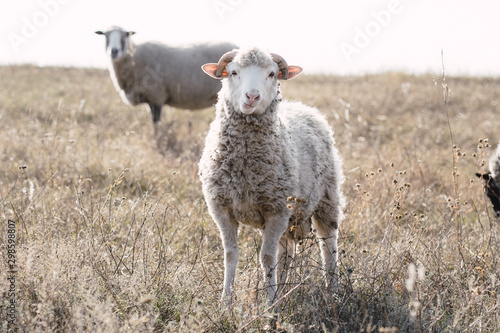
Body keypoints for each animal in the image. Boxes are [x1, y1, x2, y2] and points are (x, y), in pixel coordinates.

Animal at [96, 26, 237, 124]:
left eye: (125, 35)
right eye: (105, 35)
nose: (114, 51)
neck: (135, 57)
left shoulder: (156, 96)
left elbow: (156, 123)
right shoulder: (151, 99)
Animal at [197, 46, 346, 306]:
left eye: (272, 74)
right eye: (233, 72)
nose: (252, 97)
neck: (245, 167)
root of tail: (304, 107)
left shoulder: (276, 210)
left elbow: (267, 258)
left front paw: (269, 305)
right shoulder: (222, 209)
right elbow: (230, 255)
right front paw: (226, 301)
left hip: (326, 200)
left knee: (329, 246)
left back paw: (333, 292)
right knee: (287, 253)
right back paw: (284, 289)